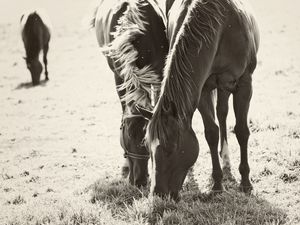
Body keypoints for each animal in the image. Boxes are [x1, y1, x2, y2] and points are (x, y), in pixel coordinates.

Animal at [137, 0, 258, 200]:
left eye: (170, 148)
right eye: (147, 147)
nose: (158, 194)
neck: (221, 26)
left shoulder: (244, 84)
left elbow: (241, 131)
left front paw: (246, 183)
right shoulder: (203, 89)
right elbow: (211, 133)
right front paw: (217, 184)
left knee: (223, 113)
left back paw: (226, 159)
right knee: (221, 113)